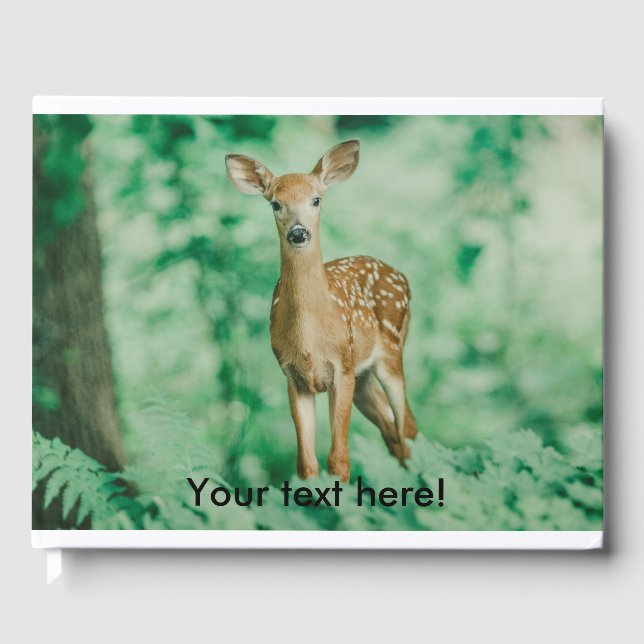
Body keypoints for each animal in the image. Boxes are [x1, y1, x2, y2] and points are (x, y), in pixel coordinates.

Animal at [225, 140, 417, 482]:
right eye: (275, 204)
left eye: (316, 199)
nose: (299, 233)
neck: (309, 340)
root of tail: (401, 275)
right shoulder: (293, 377)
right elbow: (306, 463)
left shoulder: (341, 368)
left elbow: (339, 460)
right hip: (363, 377)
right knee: (395, 433)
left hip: (391, 353)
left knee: (406, 426)